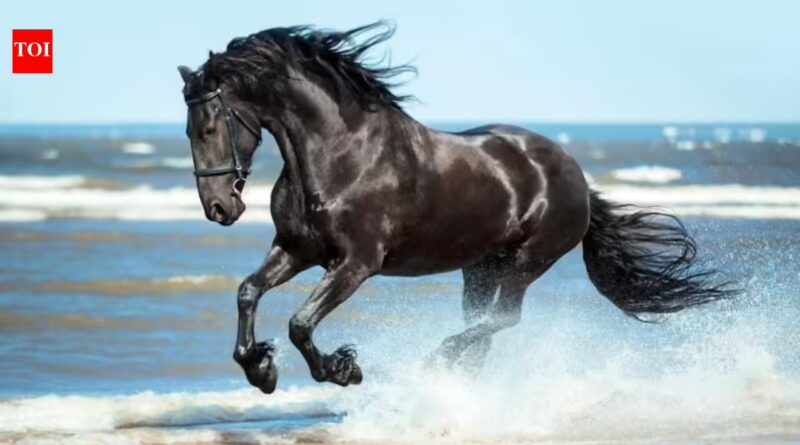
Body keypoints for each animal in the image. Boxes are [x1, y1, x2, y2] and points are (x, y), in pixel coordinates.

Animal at [177, 22, 734, 393]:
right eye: (187, 130)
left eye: (209, 126)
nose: (219, 208)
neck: (340, 154)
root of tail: (573, 173)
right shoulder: (295, 250)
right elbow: (248, 292)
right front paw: (260, 368)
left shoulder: (356, 264)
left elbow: (300, 323)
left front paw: (341, 369)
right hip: (480, 267)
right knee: (483, 326)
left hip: (527, 261)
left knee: (502, 320)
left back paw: (436, 362)